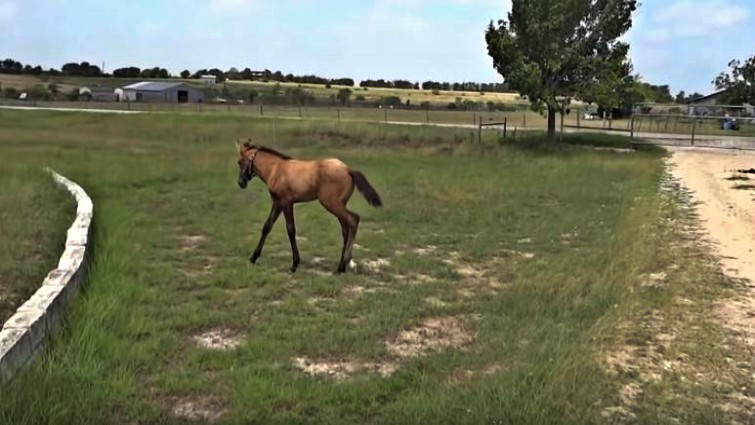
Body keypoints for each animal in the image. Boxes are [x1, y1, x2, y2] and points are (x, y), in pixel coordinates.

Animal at [235, 139, 382, 273]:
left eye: (240, 162)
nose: (241, 183)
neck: (276, 169)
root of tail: (347, 169)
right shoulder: (277, 202)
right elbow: (267, 227)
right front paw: (253, 257)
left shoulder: (286, 202)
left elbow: (290, 230)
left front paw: (294, 264)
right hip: (339, 205)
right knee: (345, 229)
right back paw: (341, 267)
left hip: (332, 204)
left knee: (353, 219)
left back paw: (349, 261)